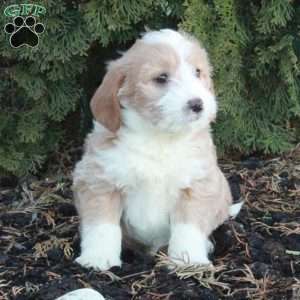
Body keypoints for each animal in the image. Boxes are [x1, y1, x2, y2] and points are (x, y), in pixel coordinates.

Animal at [72, 29, 239, 270]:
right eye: (161, 78)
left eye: (198, 72)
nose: (198, 104)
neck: (159, 138)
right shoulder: (99, 181)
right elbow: (101, 225)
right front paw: (98, 258)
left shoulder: (197, 184)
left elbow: (188, 227)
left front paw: (188, 259)